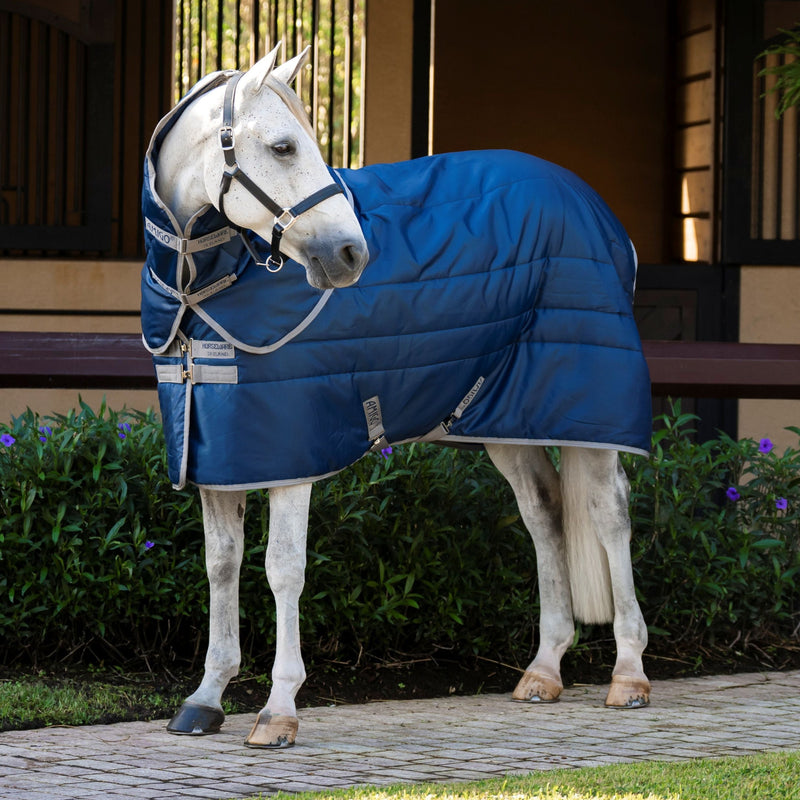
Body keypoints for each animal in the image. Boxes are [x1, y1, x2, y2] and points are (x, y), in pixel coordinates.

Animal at [141, 44, 652, 749]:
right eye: (282, 146)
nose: (351, 254)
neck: (204, 290)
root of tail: (595, 208)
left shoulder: (292, 455)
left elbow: (282, 568)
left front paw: (279, 710)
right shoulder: (220, 454)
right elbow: (222, 564)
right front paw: (205, 698)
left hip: (588, 410)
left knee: (609, 514)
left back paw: (629, 675)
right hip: (502, 419)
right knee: (544, 511)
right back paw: (543, 671)